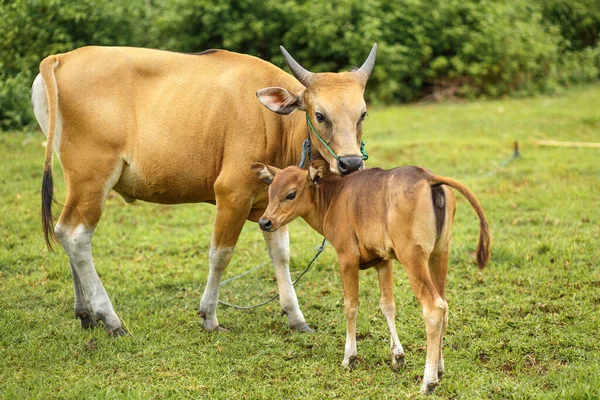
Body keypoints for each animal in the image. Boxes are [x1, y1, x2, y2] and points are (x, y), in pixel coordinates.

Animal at [31, 44, 376, 334]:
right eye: (320, 115)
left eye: (362, 114)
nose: (350, 163)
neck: (275, 122)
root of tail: (60, 58)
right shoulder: (232, 194)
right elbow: (220, 254)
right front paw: (209, 316)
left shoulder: (270, 202)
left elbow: (280, 255)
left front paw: (296, 318)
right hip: (93, 177)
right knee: (76, 235)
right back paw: (110, 318)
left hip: (77, 181)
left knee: (66, 232)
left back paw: (85, 313)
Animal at [251, 160, 490, 394]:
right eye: (270, 191)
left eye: (291, 194)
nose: (265, 222)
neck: (335, 197)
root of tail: (428, 177)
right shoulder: (383, 261)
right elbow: (388, 305)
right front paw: (397, 355)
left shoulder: (346, 257)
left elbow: (351, 305)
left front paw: (350, 356)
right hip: (440, 254)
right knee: (445, 305)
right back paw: (439, 369)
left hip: (412, 258)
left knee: (434, 308)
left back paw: (428, 381)